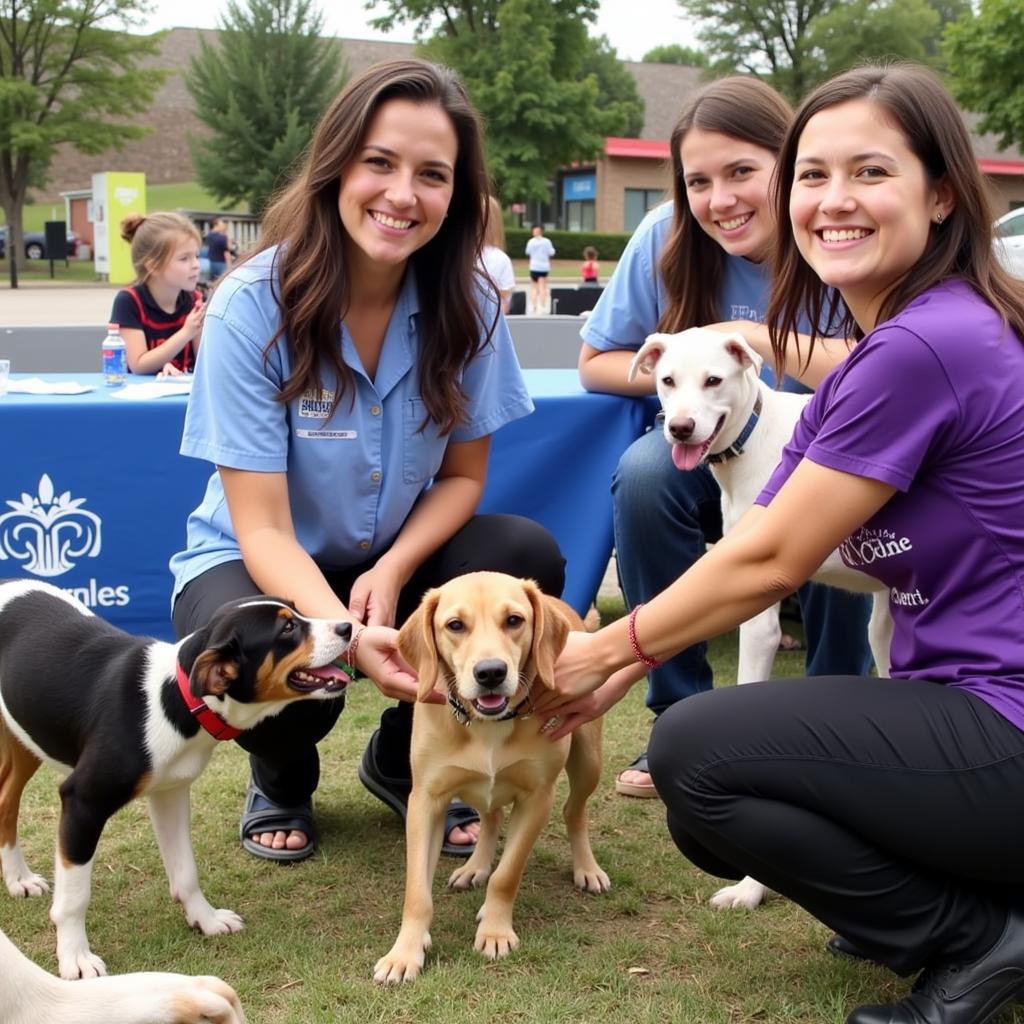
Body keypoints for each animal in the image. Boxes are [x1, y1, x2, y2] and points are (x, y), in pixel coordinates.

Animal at [0, 581, 352, 978]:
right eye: (287, 629)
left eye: (296, 610)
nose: (348, 626)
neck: (175, 698)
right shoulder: (82, 802)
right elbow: (74, 897)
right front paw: (75, 957)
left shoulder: (170, 792)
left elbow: (186, 870)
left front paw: (205, 919)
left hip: (23, 735)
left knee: (5, 800)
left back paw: (18, 879)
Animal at [372, 573, 606, 978]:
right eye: (455, 625)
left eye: (514, 620)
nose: (491, 672)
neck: (488, 725)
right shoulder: (426, 801)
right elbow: (417, 892)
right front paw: (405, 952)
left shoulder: (537, 798)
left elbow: (506, 876)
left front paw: (495, 930)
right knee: (491, 816)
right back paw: (475, 866)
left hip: (588, 759)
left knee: (574, 811)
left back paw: (587, 867)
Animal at [626, 323, 892, 909]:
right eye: (667, 380)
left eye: (714, 380)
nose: (680, 428)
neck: (754, 439)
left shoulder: (760, 612)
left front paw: (751, 886)